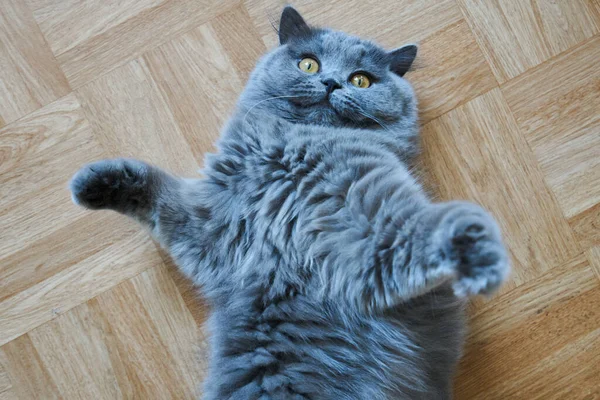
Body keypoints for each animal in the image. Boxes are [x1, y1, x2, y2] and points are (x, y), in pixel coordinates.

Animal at [71, 7, 510, 400]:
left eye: (361, 80)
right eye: (309, 64)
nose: (332, 83)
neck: (288, 154)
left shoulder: (369, 227)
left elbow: (412, 239)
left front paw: (477, 252)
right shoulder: (210, 226)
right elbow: (159, 194)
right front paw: (94, 183)